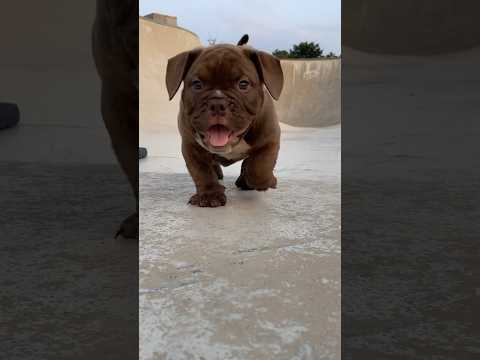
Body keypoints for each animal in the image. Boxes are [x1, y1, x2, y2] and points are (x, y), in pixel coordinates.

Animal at [167, 38, 284, 207]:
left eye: (243, 84)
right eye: (197, 84)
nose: (217, 103)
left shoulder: (270, 140)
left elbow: (260, 168)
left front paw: (266, 181)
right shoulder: (191, 147)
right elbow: (202, 172)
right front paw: (209, 195)